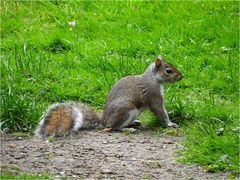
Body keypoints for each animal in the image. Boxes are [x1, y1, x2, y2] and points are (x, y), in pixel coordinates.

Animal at [35, 56, 182, 138]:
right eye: (168, 71)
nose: (181, 77)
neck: (153, 78)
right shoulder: (154, 96)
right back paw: (128, 128)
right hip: (127, 110)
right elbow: (160, 111)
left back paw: (134, 123)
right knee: (114, 127)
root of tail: (104, 121)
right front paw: (170, 124)